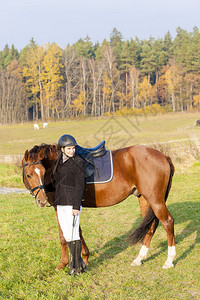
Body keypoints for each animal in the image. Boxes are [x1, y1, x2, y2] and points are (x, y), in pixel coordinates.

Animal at [21, 143, 175, 270]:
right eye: (29, 175)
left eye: (42, 172)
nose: (42, 200)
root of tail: (164, 156)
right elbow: (77, 231)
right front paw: (85, 258)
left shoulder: (60, 206)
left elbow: (63, 235)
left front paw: (63, 264)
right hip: (144, 199)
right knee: (151, 225)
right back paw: (139, 259)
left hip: (155, 200)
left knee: (167, 222)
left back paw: (169, 260)